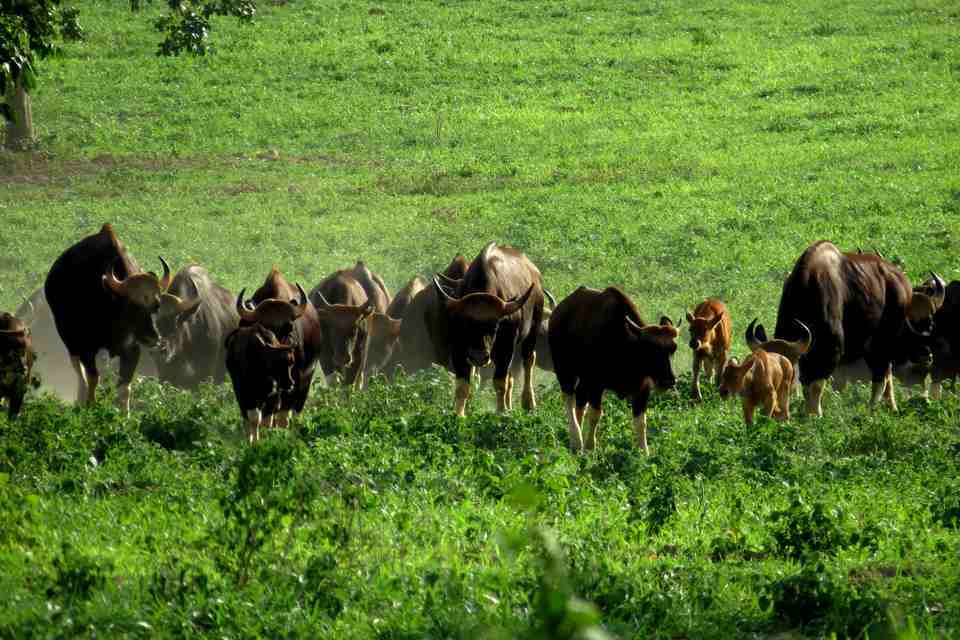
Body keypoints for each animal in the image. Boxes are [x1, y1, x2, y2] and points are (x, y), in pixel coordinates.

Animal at [44, 225, 174, 412]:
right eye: (131, 306)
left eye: (156, 305)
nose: (153, 338)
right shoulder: (86, 348)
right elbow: (92, 378)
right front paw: (89, 407)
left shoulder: (132, 350)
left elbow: (124, 387)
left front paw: (124, 415)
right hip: (69, 341)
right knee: (80, 372)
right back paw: (80, 399)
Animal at [432, 242, 544, 418]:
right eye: (465, 324)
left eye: (495, 326)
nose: (479, 357)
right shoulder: (458, 348)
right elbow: (462, 384)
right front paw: (459, 415)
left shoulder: (506, 347)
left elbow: (499, 382)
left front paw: (501, 411)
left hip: (532, 331)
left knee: (528, 361)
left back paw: (528, 403)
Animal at [552, 284, 680, 456]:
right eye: (650, 348)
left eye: (673, 348)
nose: (668, 380)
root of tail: (558, 312)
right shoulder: (595, 385)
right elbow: (595, 415)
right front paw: (590, 447)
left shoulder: (643, 389)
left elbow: (641, 422)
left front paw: (644, 451)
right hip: (565, 372)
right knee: (569, 401)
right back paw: (576, 440)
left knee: (579, 402)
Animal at [772, 240, 936, 416]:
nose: (927, 355)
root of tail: (901, 281)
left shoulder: (832, 350)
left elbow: (816, 384)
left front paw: (815, 415)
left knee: (881, 374)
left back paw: (877, 408)